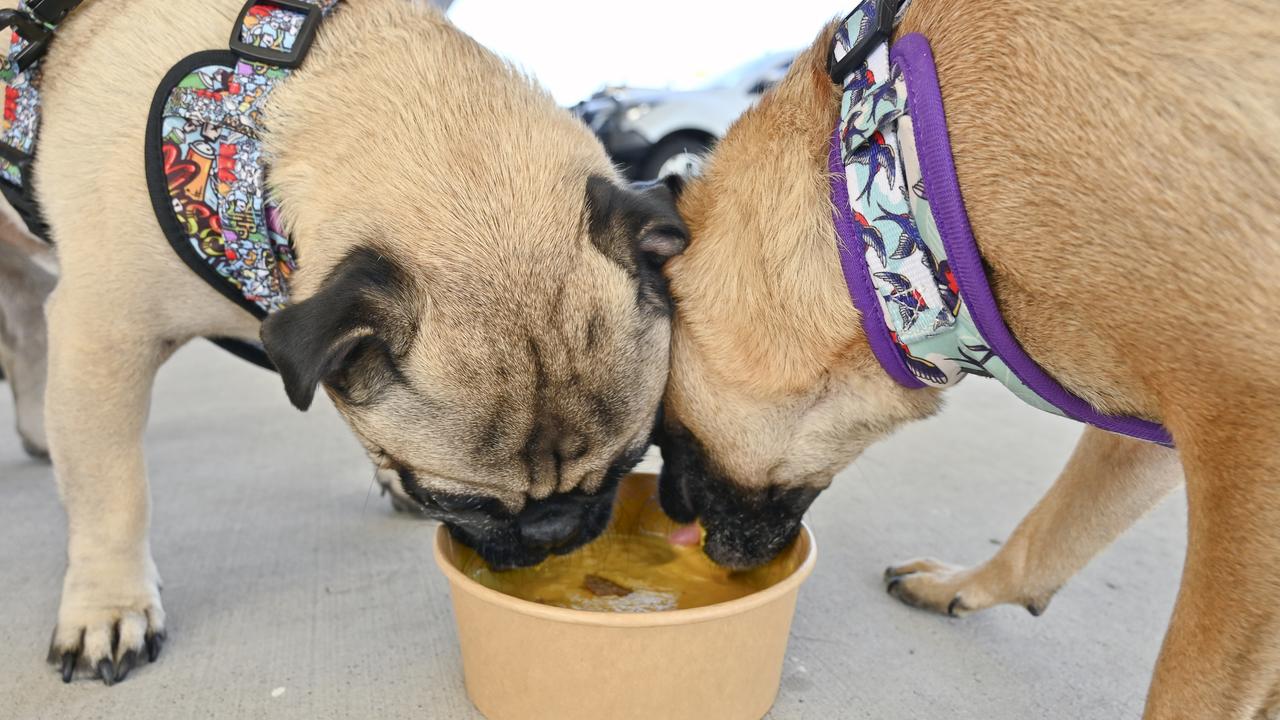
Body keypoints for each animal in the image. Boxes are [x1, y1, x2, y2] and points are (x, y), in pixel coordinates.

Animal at [0, 0, 691, 681]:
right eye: (464, 502)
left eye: (629, 465)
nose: (556, 530)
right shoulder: (104, 336)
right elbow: (113, 492)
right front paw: (108, 609)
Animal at [660, 2, 1280, 712]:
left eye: (668, 433)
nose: (670, 516)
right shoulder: (1160, 436)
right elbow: (1051, 531)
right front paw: (960, 584)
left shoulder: (1247, 455)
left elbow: (1188, 688)